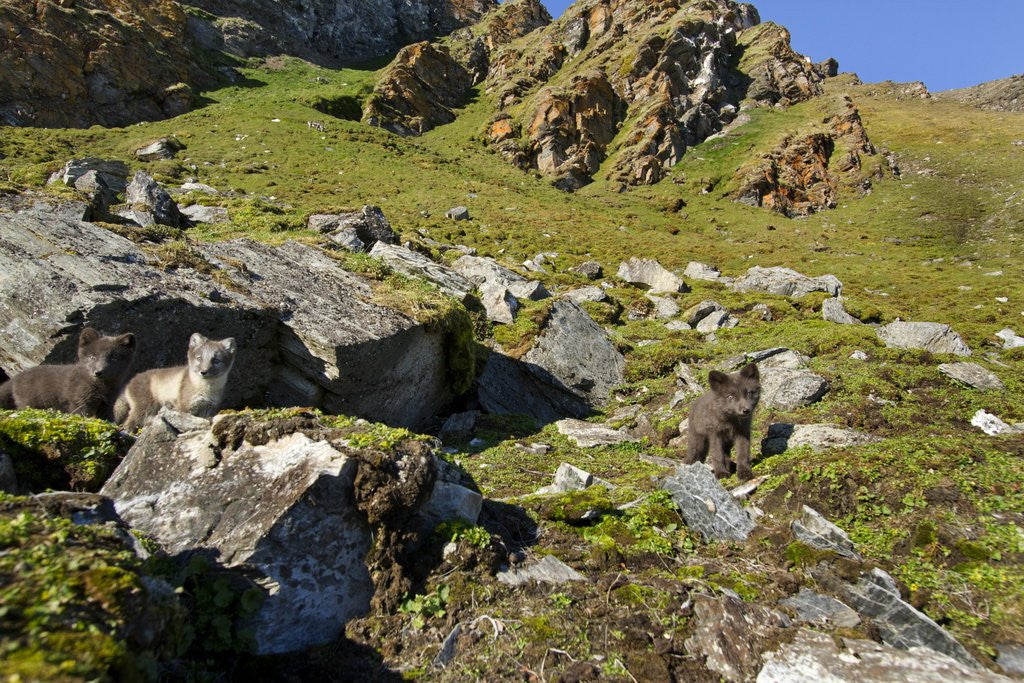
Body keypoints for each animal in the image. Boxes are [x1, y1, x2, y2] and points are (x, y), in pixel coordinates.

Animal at [0, 327, 136, 420]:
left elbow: (107, 417)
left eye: (113, 358)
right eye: (92, 356)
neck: (102, 389)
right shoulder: (79, 399)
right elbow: (81, 414)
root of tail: (15, 378)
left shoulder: (108, 402)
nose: (98, 372)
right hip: (29, 402)